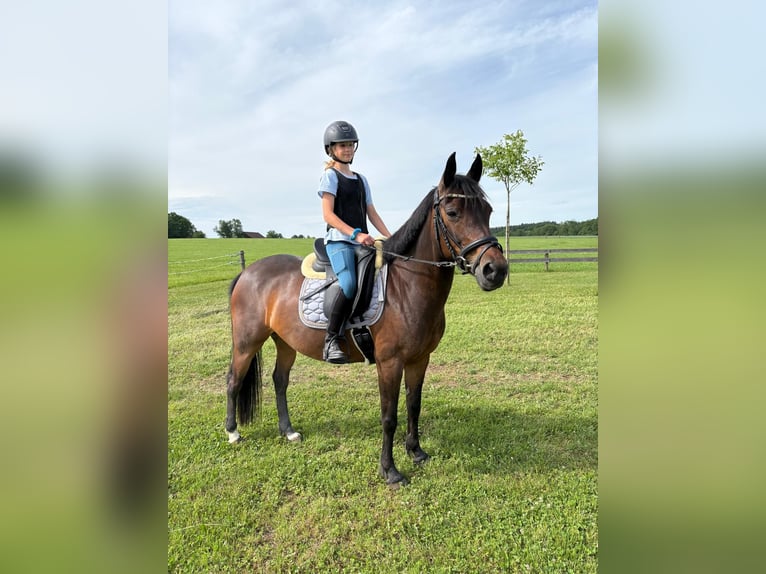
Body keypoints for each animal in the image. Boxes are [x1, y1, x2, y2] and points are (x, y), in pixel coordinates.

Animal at [225, 152, 508, 485]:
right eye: (452, 213)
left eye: (488, 211)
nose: (496, 270)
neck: (406, 287)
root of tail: (248, 272)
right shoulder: (390, 362)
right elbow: (389, 417)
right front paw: (390, 470)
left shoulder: (419, 359)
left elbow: (414, 406)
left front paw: (416, 452)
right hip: (247, 341)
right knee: (233, 380)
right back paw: (233, 433)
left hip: (285, 342)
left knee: (280, 381)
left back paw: (289, 431)